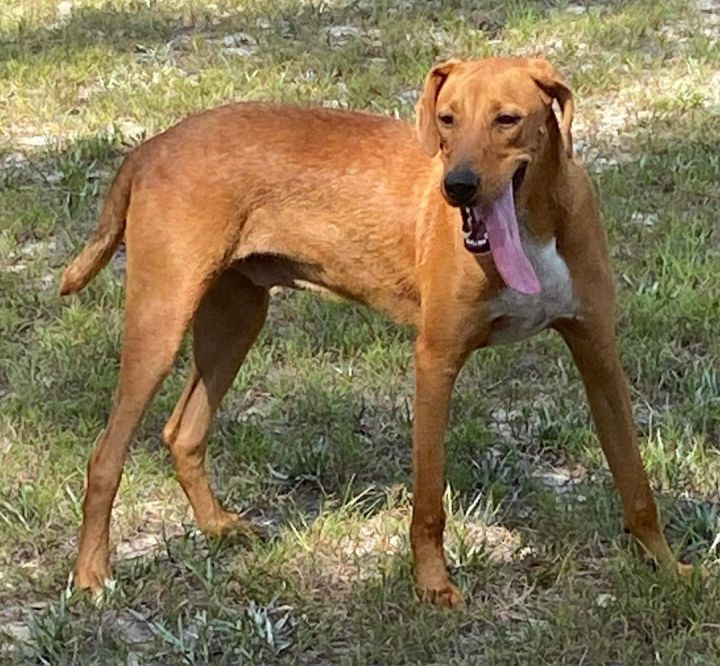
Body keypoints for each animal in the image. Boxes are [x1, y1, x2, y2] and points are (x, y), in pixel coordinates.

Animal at [60, 58, 680, 608]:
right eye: (447, 119)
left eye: (507, 119)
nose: (457, 187)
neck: (534, 228)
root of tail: (152, 145)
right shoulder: (435, 359)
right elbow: (428, 504)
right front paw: (433, 586)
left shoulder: (598, 353)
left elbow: (636, 483)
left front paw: (670, 569)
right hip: (161, 322)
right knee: (104, 458)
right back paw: (92, 575)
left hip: (236, 320)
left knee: (182, 432)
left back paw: (216, 527)